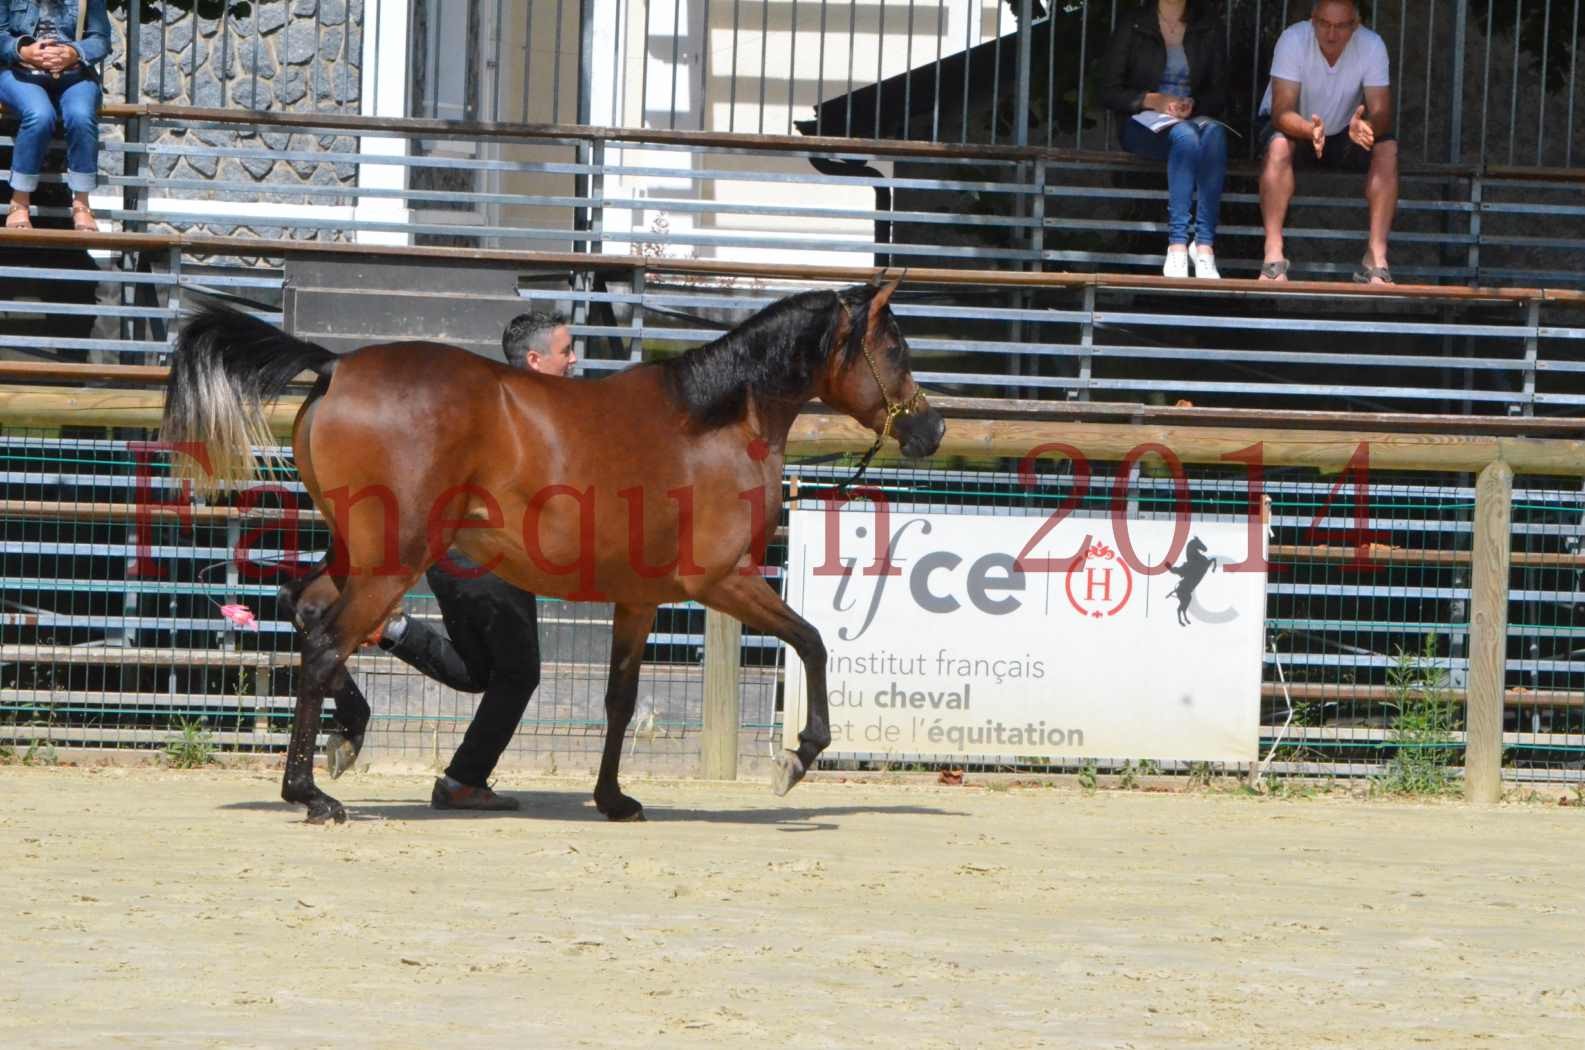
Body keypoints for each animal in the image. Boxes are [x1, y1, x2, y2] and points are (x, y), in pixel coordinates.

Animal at [164, 283, 938, 824]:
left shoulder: (639, 596)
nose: (929, 428)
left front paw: (615, 799)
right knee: (327, 641)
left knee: (306, 610)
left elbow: (621, 700)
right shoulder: (721, 580)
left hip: (360, 552)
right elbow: (811, 642)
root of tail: (337, 366)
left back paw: (347, 740)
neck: (713, 422)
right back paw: (312, 794)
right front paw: (798, 757)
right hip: (393, 559)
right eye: (896, 350)